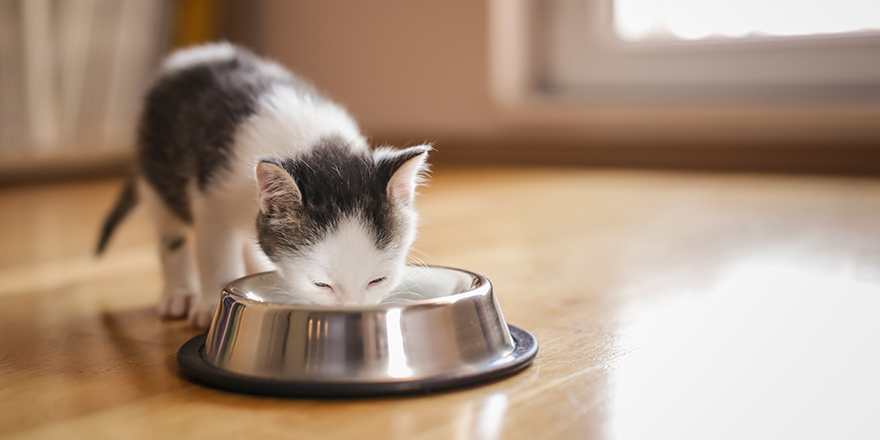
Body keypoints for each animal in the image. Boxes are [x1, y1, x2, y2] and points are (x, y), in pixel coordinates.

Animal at [98, 43, 432, 328]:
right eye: (321, 284)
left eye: (377, 280)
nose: (352, 311)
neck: (310, 143)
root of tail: (191, 55)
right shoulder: (210, 197)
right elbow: (215, 253)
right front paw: (211, 304)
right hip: (155, 169)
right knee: (171, 234)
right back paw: (179, 292)